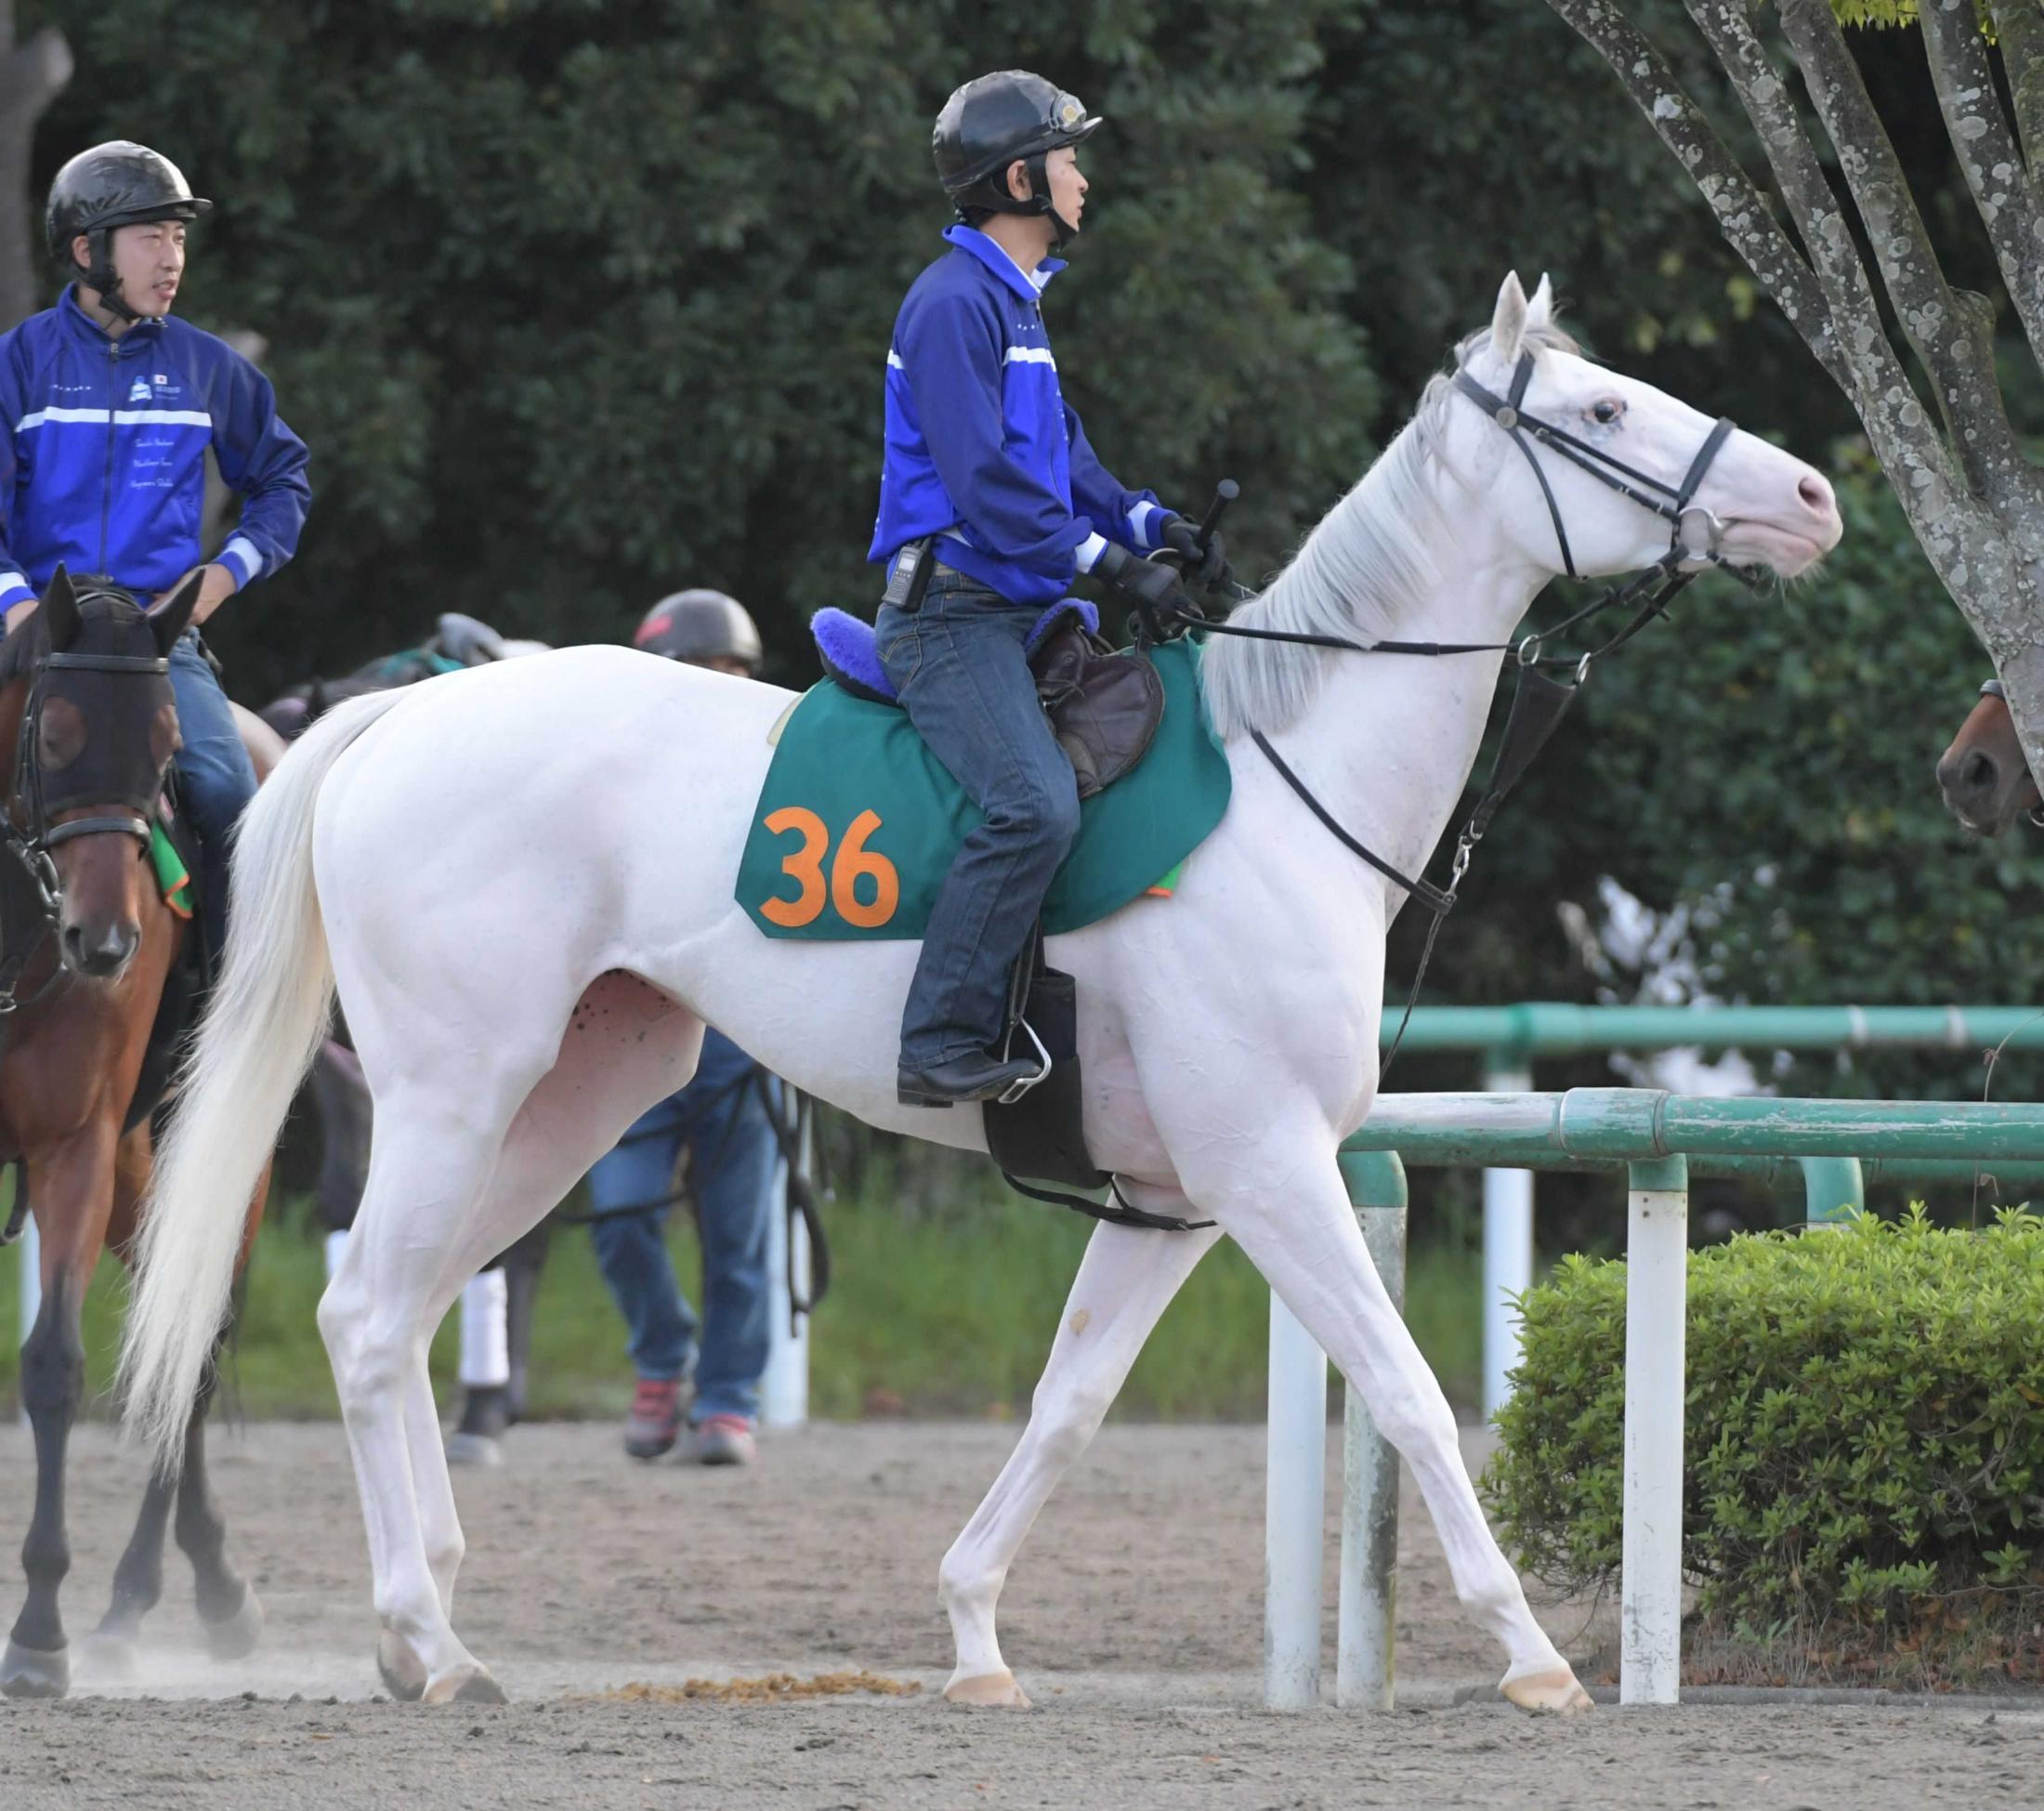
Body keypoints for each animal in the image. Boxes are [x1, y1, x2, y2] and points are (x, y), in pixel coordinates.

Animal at [0, 571, 283, 1700]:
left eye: (165, 751)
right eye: (57, 732)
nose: (109, 941)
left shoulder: (72, 1149)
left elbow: (54, 1367)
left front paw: (38, 1628)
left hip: (212, 1161)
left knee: (190, 1341)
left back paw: (152, 1597)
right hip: (138, 1176)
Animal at [119, 273, 1847, 1716]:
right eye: (1603, 412)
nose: (1812, 497)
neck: (1290, 783)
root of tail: (402, 716)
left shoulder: (1183, 1200)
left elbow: (1069, 1404)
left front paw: (971, 1635)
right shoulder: (1272, 1169)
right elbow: (1415, 1393)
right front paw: (1537, 1652)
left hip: (570, 1100)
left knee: (402, 1306)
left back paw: (430, 1624)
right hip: (455, 1089)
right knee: (362, 1313)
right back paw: (426, 1635)